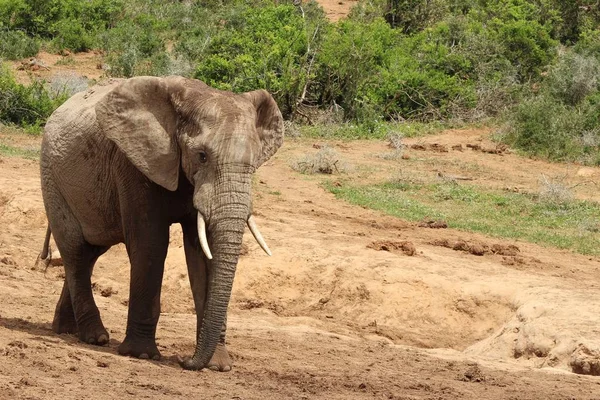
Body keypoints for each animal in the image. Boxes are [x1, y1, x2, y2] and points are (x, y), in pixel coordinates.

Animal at [37, 76, 284, 372]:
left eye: (254, 165)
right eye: (202, 156)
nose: (184, 359)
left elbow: (205, 252)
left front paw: (219, 366)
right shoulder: (134, 162)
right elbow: (151, 243)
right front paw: (141, 355)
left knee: (91, 252)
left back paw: (66, 330)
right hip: (51, 177)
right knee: (75, 250)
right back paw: (94, 337)